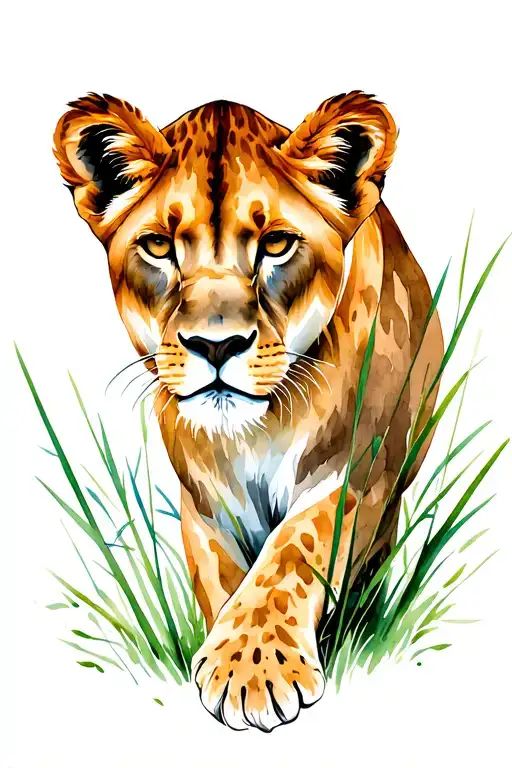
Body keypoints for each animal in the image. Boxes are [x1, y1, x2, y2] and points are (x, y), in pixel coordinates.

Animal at [53, 91, 443, 731]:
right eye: (159, 246)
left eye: (277, 244)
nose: (216, 346)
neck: (254, 430)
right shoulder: (206, 501)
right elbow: (223, 579)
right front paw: (228, 657)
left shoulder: (356, 474)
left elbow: (294, 552)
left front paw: (253, 668)